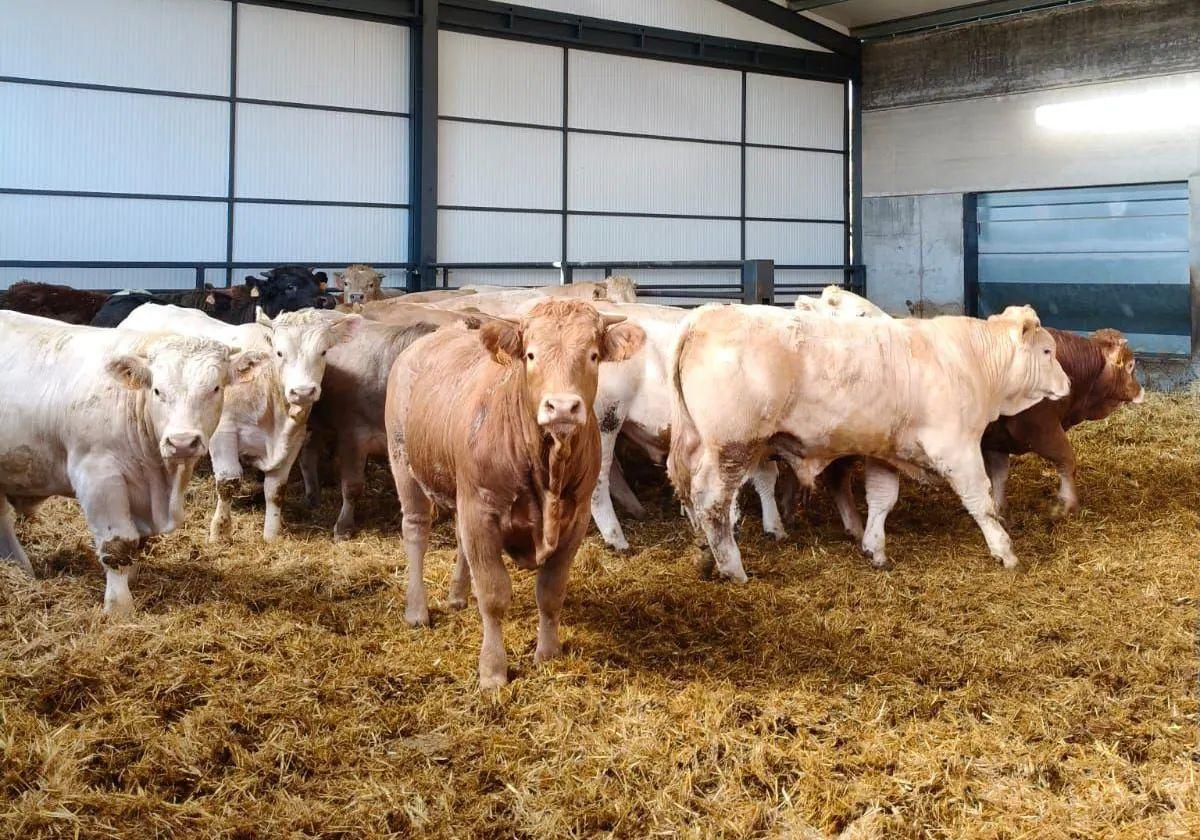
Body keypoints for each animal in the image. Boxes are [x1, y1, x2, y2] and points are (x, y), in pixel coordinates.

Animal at [0, 312, 261, 614]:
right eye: (157, 391)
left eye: (215, 388)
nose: (182, 442)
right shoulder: (97, 476)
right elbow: (117, 546)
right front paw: (119, 607)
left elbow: (137, 542)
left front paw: (132, 579)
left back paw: (19, 568)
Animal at [122, 304, 367, 542]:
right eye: (279, 352)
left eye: (323, 352)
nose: (303, 392)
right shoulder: (224, 433)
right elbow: (228, 483)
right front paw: (219, 532)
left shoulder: (295, 438)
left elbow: (276, 489)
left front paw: (271, 534)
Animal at [388, 298, 643, 686]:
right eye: (531, 354)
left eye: (593, 354)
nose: (562, 407)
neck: (546, 466)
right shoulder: (481, 509)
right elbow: (494, 594)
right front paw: (493, 670)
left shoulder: (576, 518)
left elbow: (551, 592)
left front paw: (548, 655)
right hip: (404, 463)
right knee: (416, 531)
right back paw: (417, 610)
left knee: (459, 539)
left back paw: (458, 595)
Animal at [667, 303, 1070, 583]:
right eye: (1047, 352)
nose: (1067, 384)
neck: (971, 361)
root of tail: (706, 315)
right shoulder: (956, 448)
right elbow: (980, 501)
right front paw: (1004, 550)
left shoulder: (886, 452)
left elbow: (881, 499)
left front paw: (874, 547)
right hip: (733, 445)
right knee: (713, 501)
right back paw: (733, 567)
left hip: (699, 444)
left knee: (695, 497)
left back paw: (704, 554)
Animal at [984, 326, 1142, 511]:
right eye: (1130, 365)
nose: (1141, 390)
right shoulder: (1040, 427)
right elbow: (1067, 460)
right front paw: (1068, 504)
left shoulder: (997, 439)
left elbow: (998, 475)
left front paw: (998, 510)